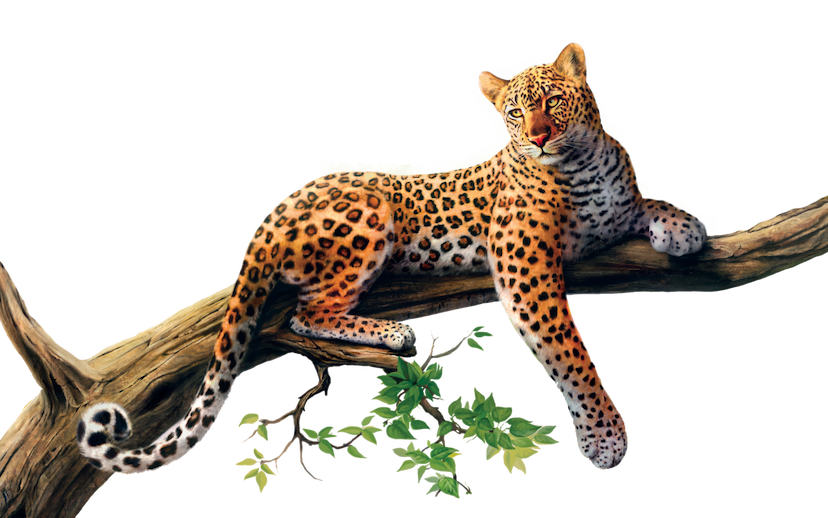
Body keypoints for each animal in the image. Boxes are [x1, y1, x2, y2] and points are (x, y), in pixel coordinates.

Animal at [77, 41, 707, 474]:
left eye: (552, 100)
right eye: (514, 112)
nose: (539, 137)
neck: (582, 164)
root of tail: (273, 212)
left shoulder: (612, 212)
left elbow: (645, 203)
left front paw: (685, 227)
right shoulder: (524, 265)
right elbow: (570, 353)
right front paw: (604, 435)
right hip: (370, 213)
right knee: (308, 311)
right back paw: (393, 333)